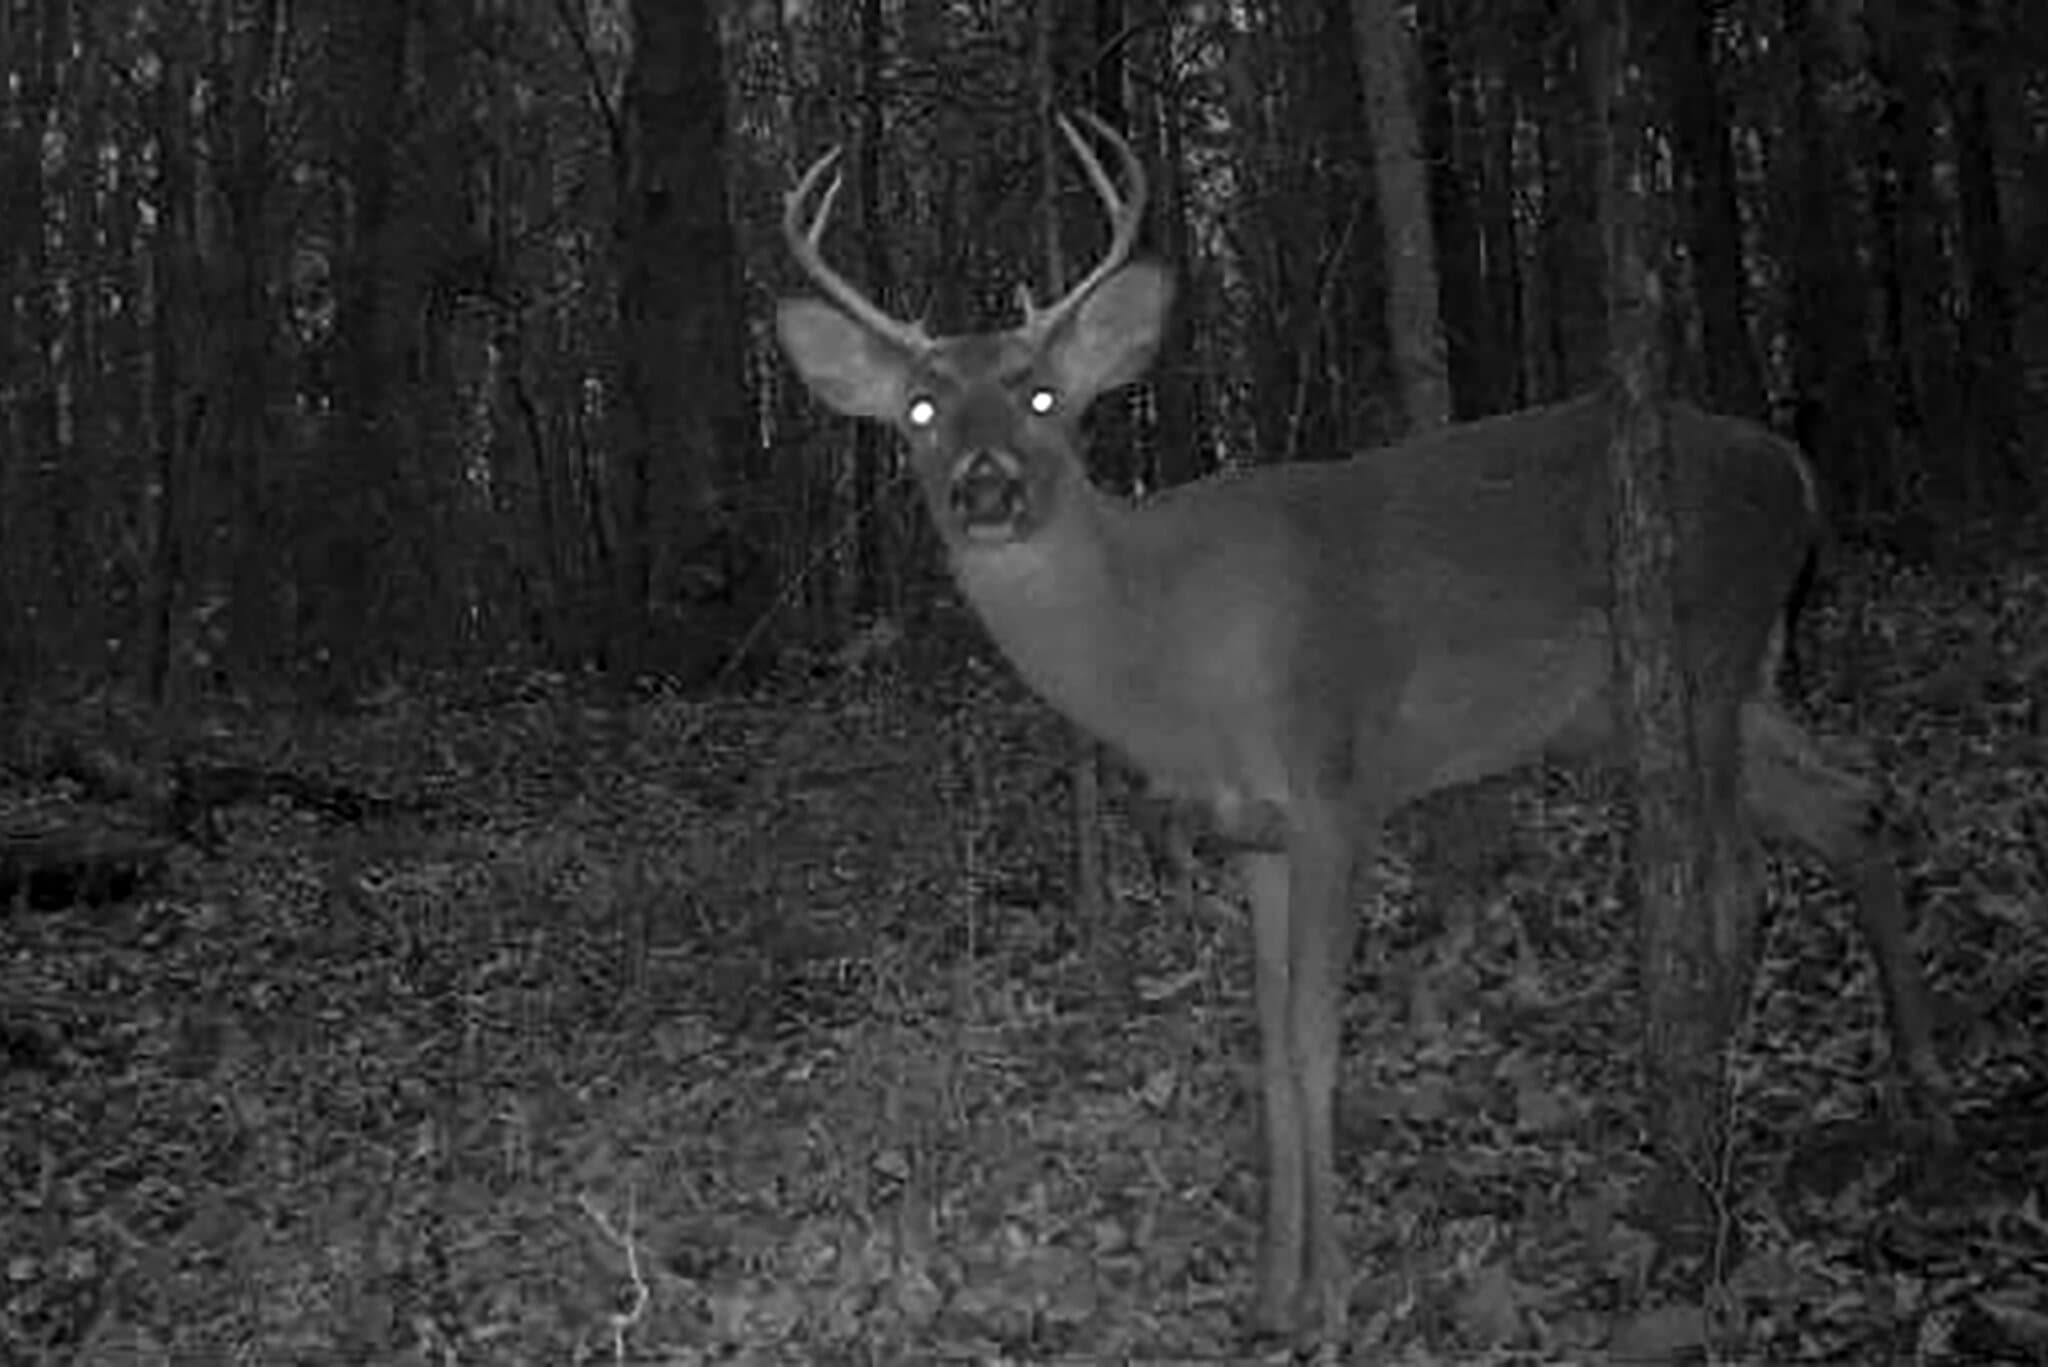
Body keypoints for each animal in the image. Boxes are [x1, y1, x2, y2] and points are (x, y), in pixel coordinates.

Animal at [774, 112, 1949, 1344]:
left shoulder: (1336, 784)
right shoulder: (1251, 833)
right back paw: (1922, 1089)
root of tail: (1795, 469)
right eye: (919, 410)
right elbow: (1268, 1049)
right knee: (1851, 804)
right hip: (1681, 697)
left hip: (1703, 653)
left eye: (1044, 395)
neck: (1172, 644)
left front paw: (1331, 1296)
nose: (987, 487)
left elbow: (1314, 1040)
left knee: (1732, 876)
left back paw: (1698, 1128)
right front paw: (1269, 1289)